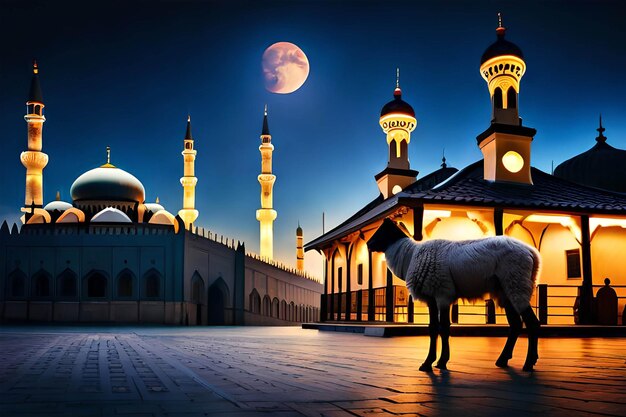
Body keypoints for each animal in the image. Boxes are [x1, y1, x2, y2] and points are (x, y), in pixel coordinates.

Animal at [366, 218, 540, 370]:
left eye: (382, 230)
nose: (368, 244)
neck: (409, 256)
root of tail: (532, 252)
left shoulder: (442, 293)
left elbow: (444, 327)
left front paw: (441, 362)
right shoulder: (431, 297)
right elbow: (432, 328)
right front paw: (428, 363)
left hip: (516, 283)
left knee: (532, 323)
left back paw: (528, 364)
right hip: (507, 290)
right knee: (516, 325)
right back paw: (503, 360)